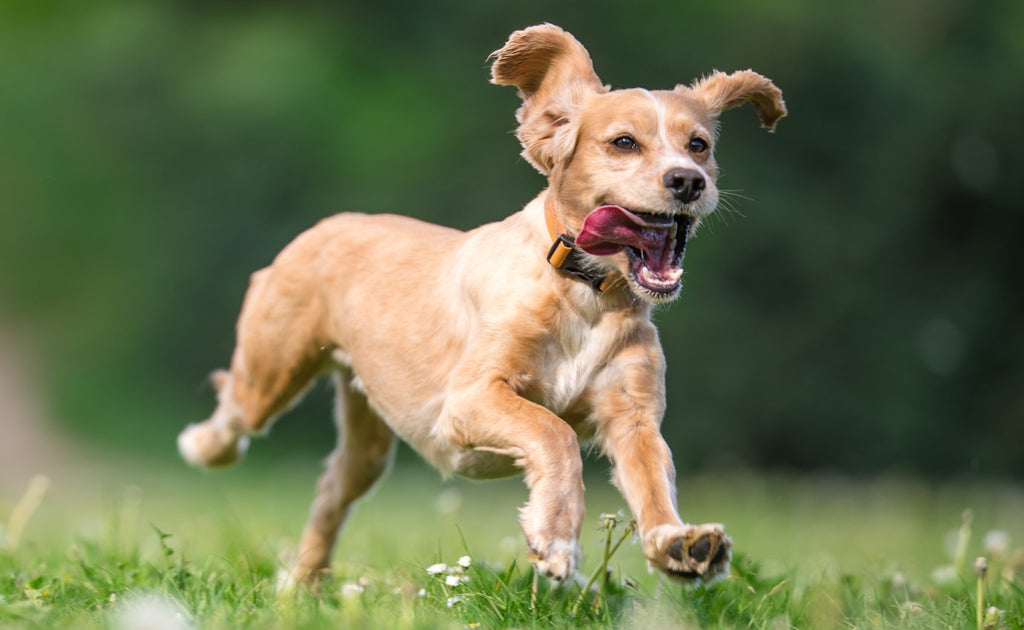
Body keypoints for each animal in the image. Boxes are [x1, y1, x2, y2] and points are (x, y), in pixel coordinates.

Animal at [178, 23, 782, 585]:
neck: (584, 295)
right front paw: (555, 536)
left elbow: (654, 474)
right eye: (623, 142)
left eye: (699, 145)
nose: (688, 180)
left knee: (331, 490)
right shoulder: (470, 399)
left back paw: (302, 585)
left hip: (366, 435)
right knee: (234, 411)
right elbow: (554, 431)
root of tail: (330, 222)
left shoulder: (631, 413)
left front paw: (679, 542)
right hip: (271, 366)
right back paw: (202, 445)